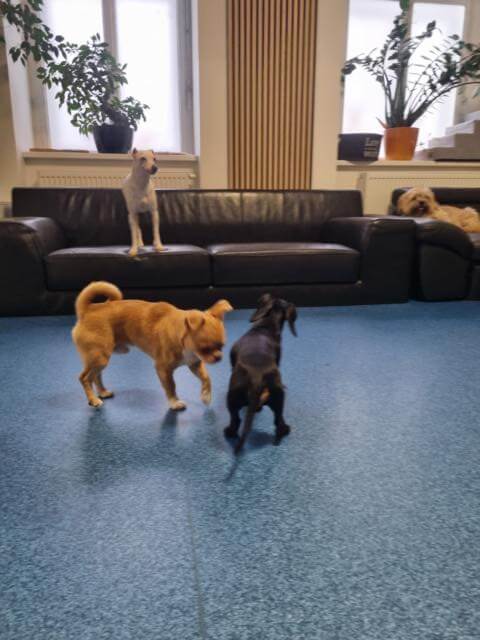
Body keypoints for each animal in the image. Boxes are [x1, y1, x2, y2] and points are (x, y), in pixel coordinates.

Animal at [72, 281, 233, 410]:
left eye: (222, 347)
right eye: (204, 349)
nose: (218, 357)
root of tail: (88, 309)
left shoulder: (194, 364)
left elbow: (206, 378)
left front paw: (206, 396)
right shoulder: (163, 369)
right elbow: (171, 386)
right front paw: (174, 403)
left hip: (100, 359)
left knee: (96, 376)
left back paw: (102, 392)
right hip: (99, 357)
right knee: (84, 378)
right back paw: (93, 399)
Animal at [224, 294, 297, 454]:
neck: (265, 327)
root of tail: (257, 376)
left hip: (231, 398)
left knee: (236, 420)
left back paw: (230, 432)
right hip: (278, 398)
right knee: (278, 420)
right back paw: (284, 430)